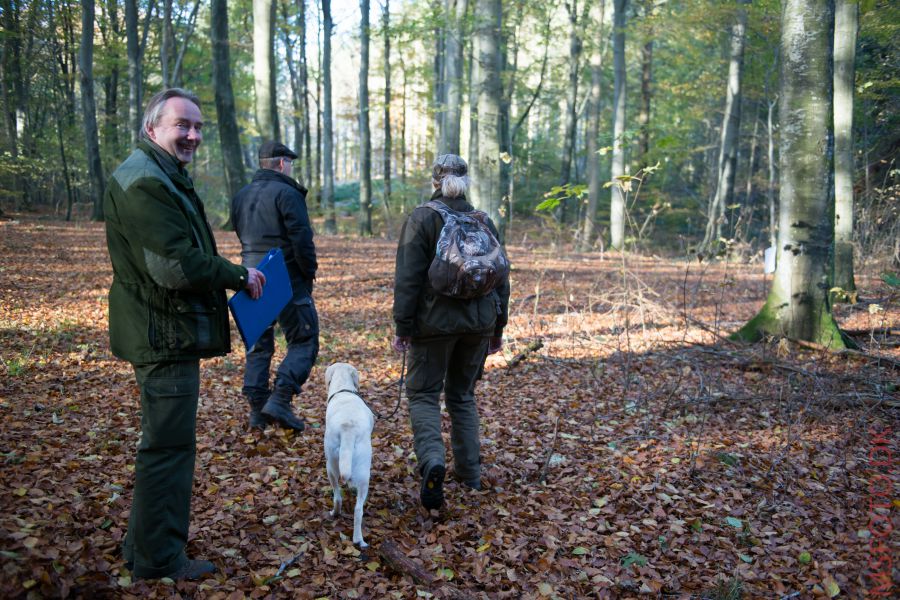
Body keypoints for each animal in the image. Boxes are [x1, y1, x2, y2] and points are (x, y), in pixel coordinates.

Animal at [324, 360, 376, 548]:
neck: (343, 389)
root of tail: (348, 429)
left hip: (332, 465)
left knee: (344, 501)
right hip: (358, 474)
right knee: (353, 507)